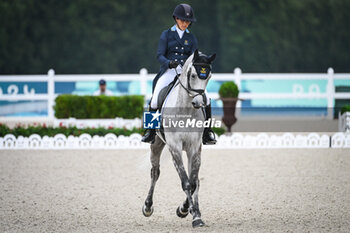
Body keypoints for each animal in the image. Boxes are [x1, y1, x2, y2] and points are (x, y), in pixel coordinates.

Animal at [142, 50, 216, 228]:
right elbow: (186, 182)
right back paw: (147, 207)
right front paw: (188, 212)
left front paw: (192, 213)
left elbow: (193, 182)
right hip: (156, 144)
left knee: (195, 180)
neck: (186, 109)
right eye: (193, 75)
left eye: (209, 76)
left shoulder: (194, 147)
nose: (199, 102)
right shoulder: (174, 147)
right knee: (155, 173)